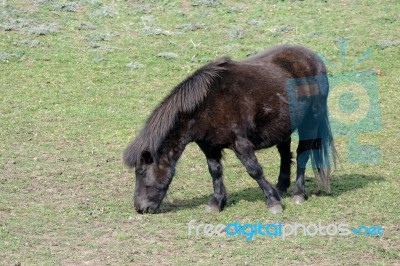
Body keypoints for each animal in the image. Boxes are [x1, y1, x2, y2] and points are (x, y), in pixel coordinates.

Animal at [123, 44, 336, 214]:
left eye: (141, 172)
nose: (140, 208)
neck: (205, 105)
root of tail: (314, 58)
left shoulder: (240, 143)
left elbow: (254, 170)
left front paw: (273, 202)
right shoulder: (208, 146)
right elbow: (215, 172)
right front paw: (216, 202)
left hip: (311, 121)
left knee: (302, 152)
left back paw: (298, 193)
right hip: (283, 125)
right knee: (285, 153)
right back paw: (282, 187)